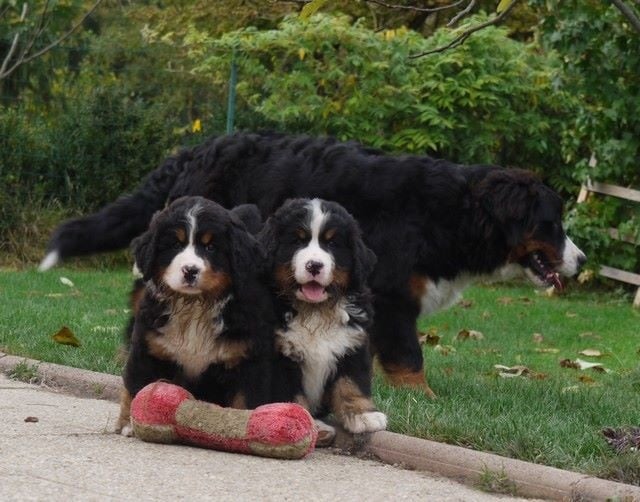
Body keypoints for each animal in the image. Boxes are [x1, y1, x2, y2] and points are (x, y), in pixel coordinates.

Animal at [42, 132, 588, 396]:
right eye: (552, 223)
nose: (581, 260)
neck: (452, 213)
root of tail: (192, 152)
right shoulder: (393, 295)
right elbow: (409, 358)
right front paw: (426, 398)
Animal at [115, 196, 276, 436]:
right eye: (175, 245)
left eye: (211, 247)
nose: (190, 270)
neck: (195, 307)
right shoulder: (149, 350)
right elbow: (137, 387)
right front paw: (129, 423)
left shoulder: (247, 362)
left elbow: (245, 402)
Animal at [260, 199, 384, 440]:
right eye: (297, 241)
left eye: (332, 243)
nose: (314, 265)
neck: (315, 310)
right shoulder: (280, 356)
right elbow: (290, 394)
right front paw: (305, 423)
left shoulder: (352, 344)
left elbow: (351, 383)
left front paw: (364, 415)